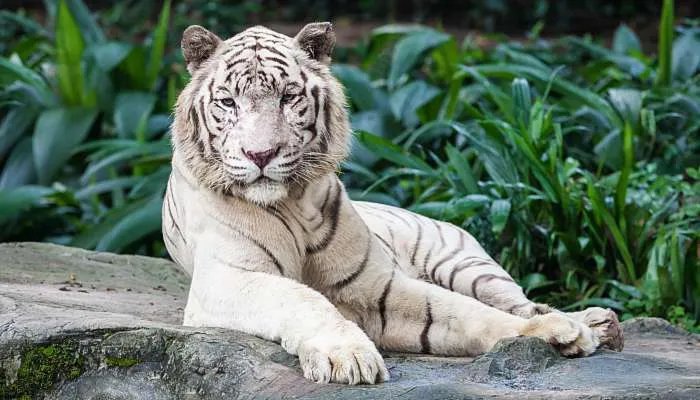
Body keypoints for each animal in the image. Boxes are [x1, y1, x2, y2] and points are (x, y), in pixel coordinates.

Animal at [162, 22, 624, 385]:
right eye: (228, 102)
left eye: (288, 98)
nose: (260, 155)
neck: (292, 203)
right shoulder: (228, 279)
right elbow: (301, 299)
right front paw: (348, 356)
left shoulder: (375, 284)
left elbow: (463, 312)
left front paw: (556, 331)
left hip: (469, 266)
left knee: (517, 298)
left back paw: (597, 322)